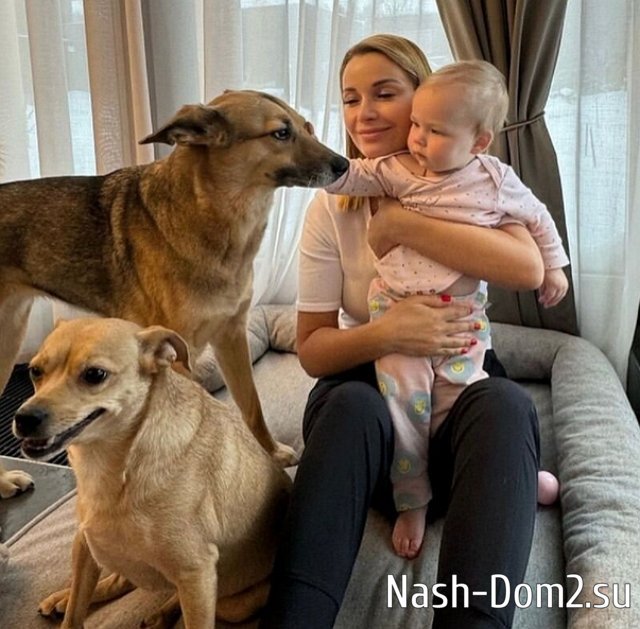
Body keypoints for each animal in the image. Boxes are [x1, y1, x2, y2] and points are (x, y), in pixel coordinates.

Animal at [0, 89, 349, 495]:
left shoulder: (232, 335)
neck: (217, 214)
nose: (344, 164)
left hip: (10, 338)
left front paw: (269, 453)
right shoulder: (180, 354)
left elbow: (251, 405)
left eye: (308, 128)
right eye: (281, 133)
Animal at [13, 316, 292, 627]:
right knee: (119, 580)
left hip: (231, 605)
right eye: (35, 371)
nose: (24, 418)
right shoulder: (84, 544)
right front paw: (69, 602)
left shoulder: (196, 573)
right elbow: (75, 610)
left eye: (95, 375)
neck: (110, 465)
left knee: (178, 595)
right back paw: (62, 598)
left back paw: (160, 614)